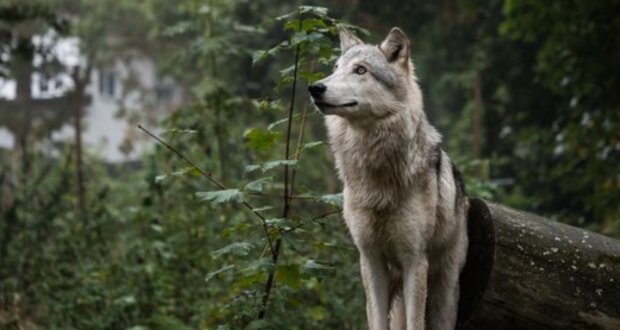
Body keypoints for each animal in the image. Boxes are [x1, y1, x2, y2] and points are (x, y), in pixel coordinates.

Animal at [308, 26, 468, 330]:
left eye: (360, 70)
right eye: (335, 68)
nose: (315, 87)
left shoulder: (414, 261)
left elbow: (415, 324)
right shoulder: (370, 260)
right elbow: (377, 321)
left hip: (443, 293)